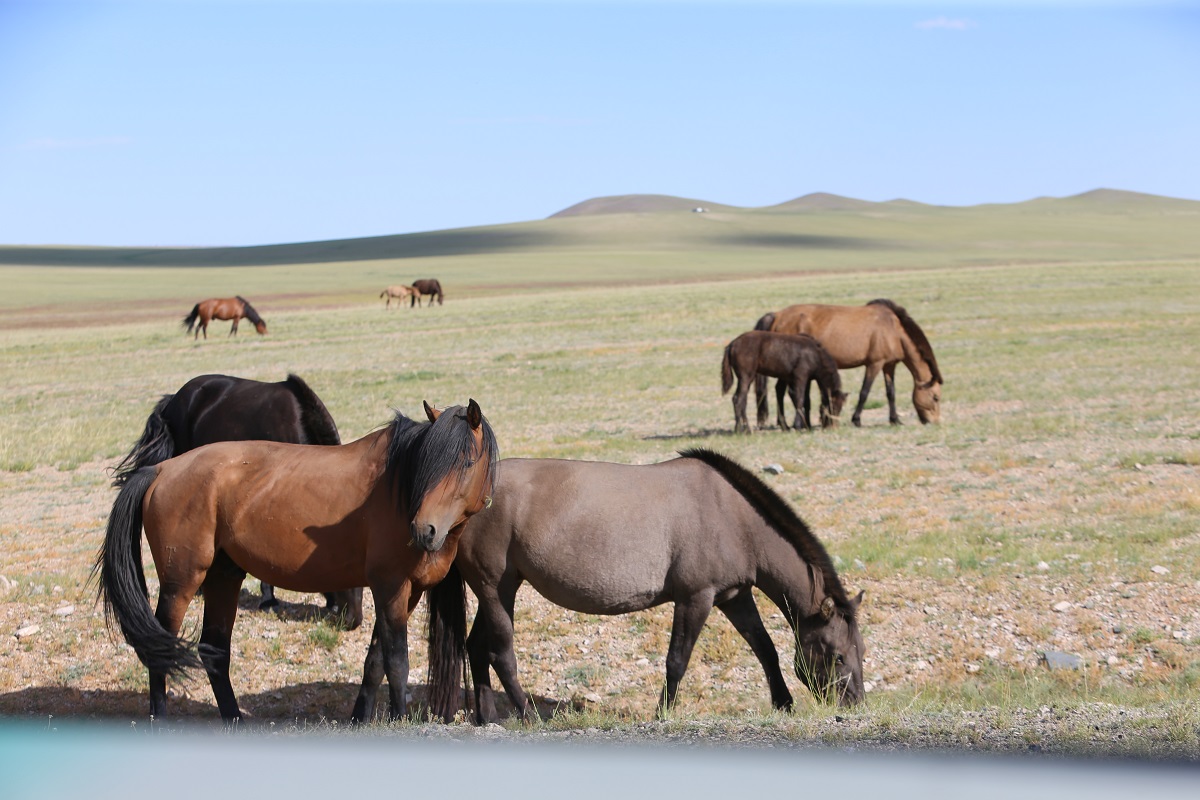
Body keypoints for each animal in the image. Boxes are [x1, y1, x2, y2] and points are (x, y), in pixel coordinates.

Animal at [94, 398, 501, 724]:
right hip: (181, 583)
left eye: (467, 463)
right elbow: (397, 661)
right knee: (160, 650)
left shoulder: (407, 592)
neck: (398, 486)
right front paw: (400, 718)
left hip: (224, 576)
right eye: (429, 465)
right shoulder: (390, 587)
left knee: (214, 650)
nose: (424, 530)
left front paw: (360, 717)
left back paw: (234, 718)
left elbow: (374, 661)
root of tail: (163, 470)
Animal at [408, 450, 868, 724]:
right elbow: (677, 661)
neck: (732, 515)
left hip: (498, 590)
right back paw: (529, 715)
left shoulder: (733, 597)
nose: (855, 703)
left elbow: (765, 649)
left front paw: (784, 703)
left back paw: (487, 716)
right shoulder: (695, 598)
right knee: (501, 653)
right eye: (837, 655)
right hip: (496, 588)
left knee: (475, 647)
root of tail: (465, 501)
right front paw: (662, 712)